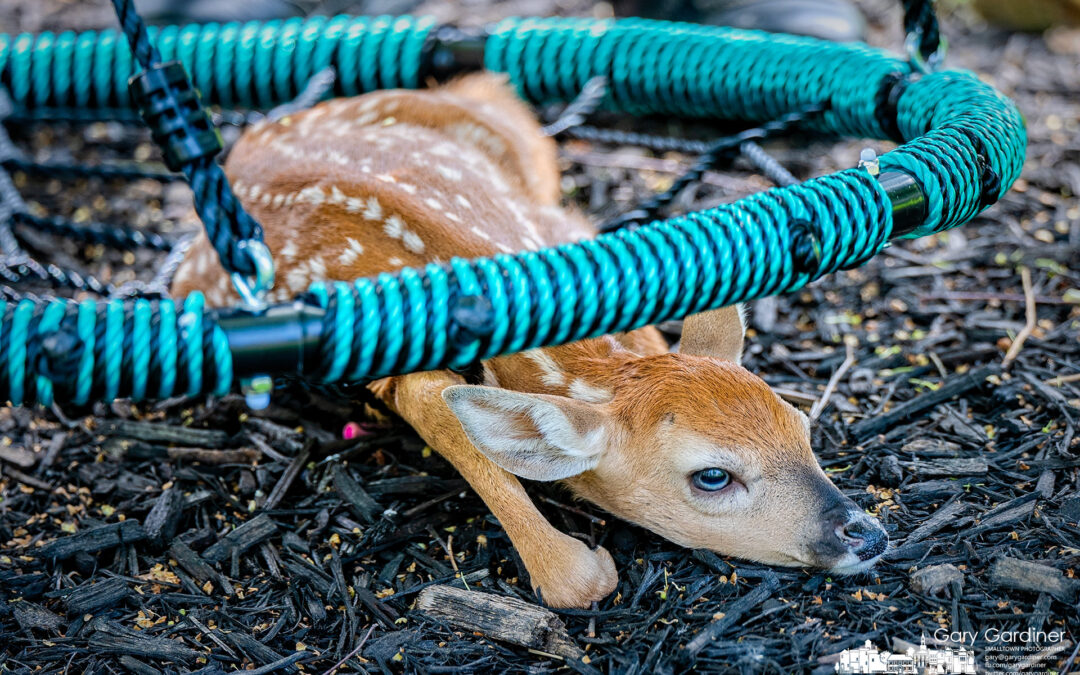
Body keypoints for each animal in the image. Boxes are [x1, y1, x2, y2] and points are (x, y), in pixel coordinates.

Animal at [172, 74, 888, 609]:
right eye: (712, 476)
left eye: (801, 425)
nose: (866, 534)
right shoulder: (398, 362)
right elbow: (441, 412)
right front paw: (574, 565)